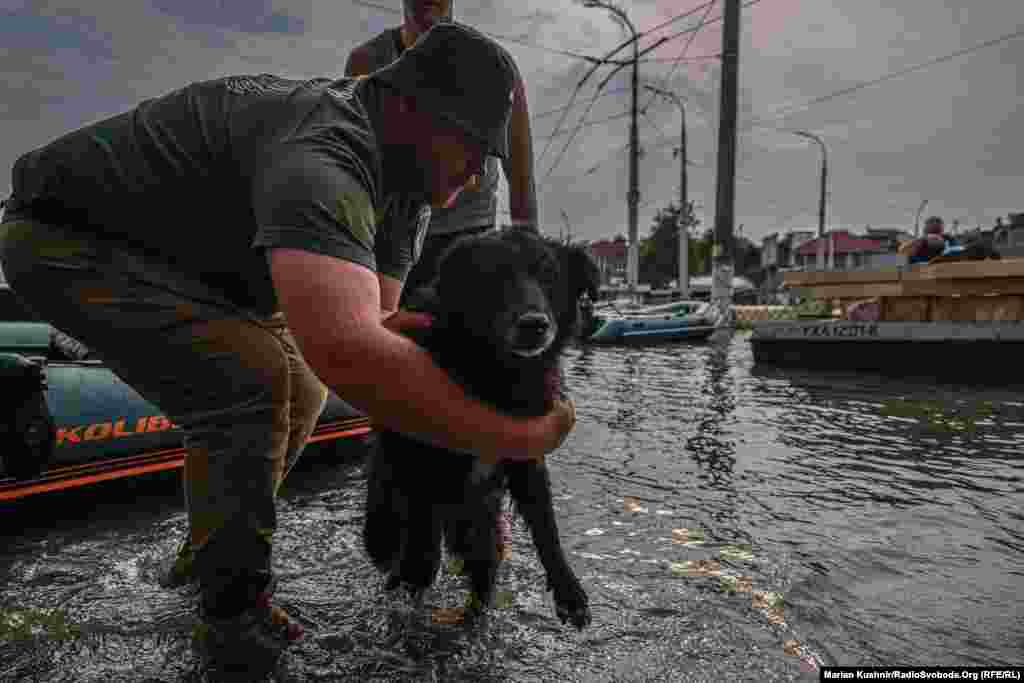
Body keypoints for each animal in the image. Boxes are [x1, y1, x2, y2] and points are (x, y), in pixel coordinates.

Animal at [364, 229, 598, 630]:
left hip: (481, 531)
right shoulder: (417, 453)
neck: (496, 374)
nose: (534, 324)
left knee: (481, 582)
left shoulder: (527, 450)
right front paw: (414, 577)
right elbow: (421, 531)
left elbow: (546, 524)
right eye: (495, 275)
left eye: (550, 276)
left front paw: (568, 589)